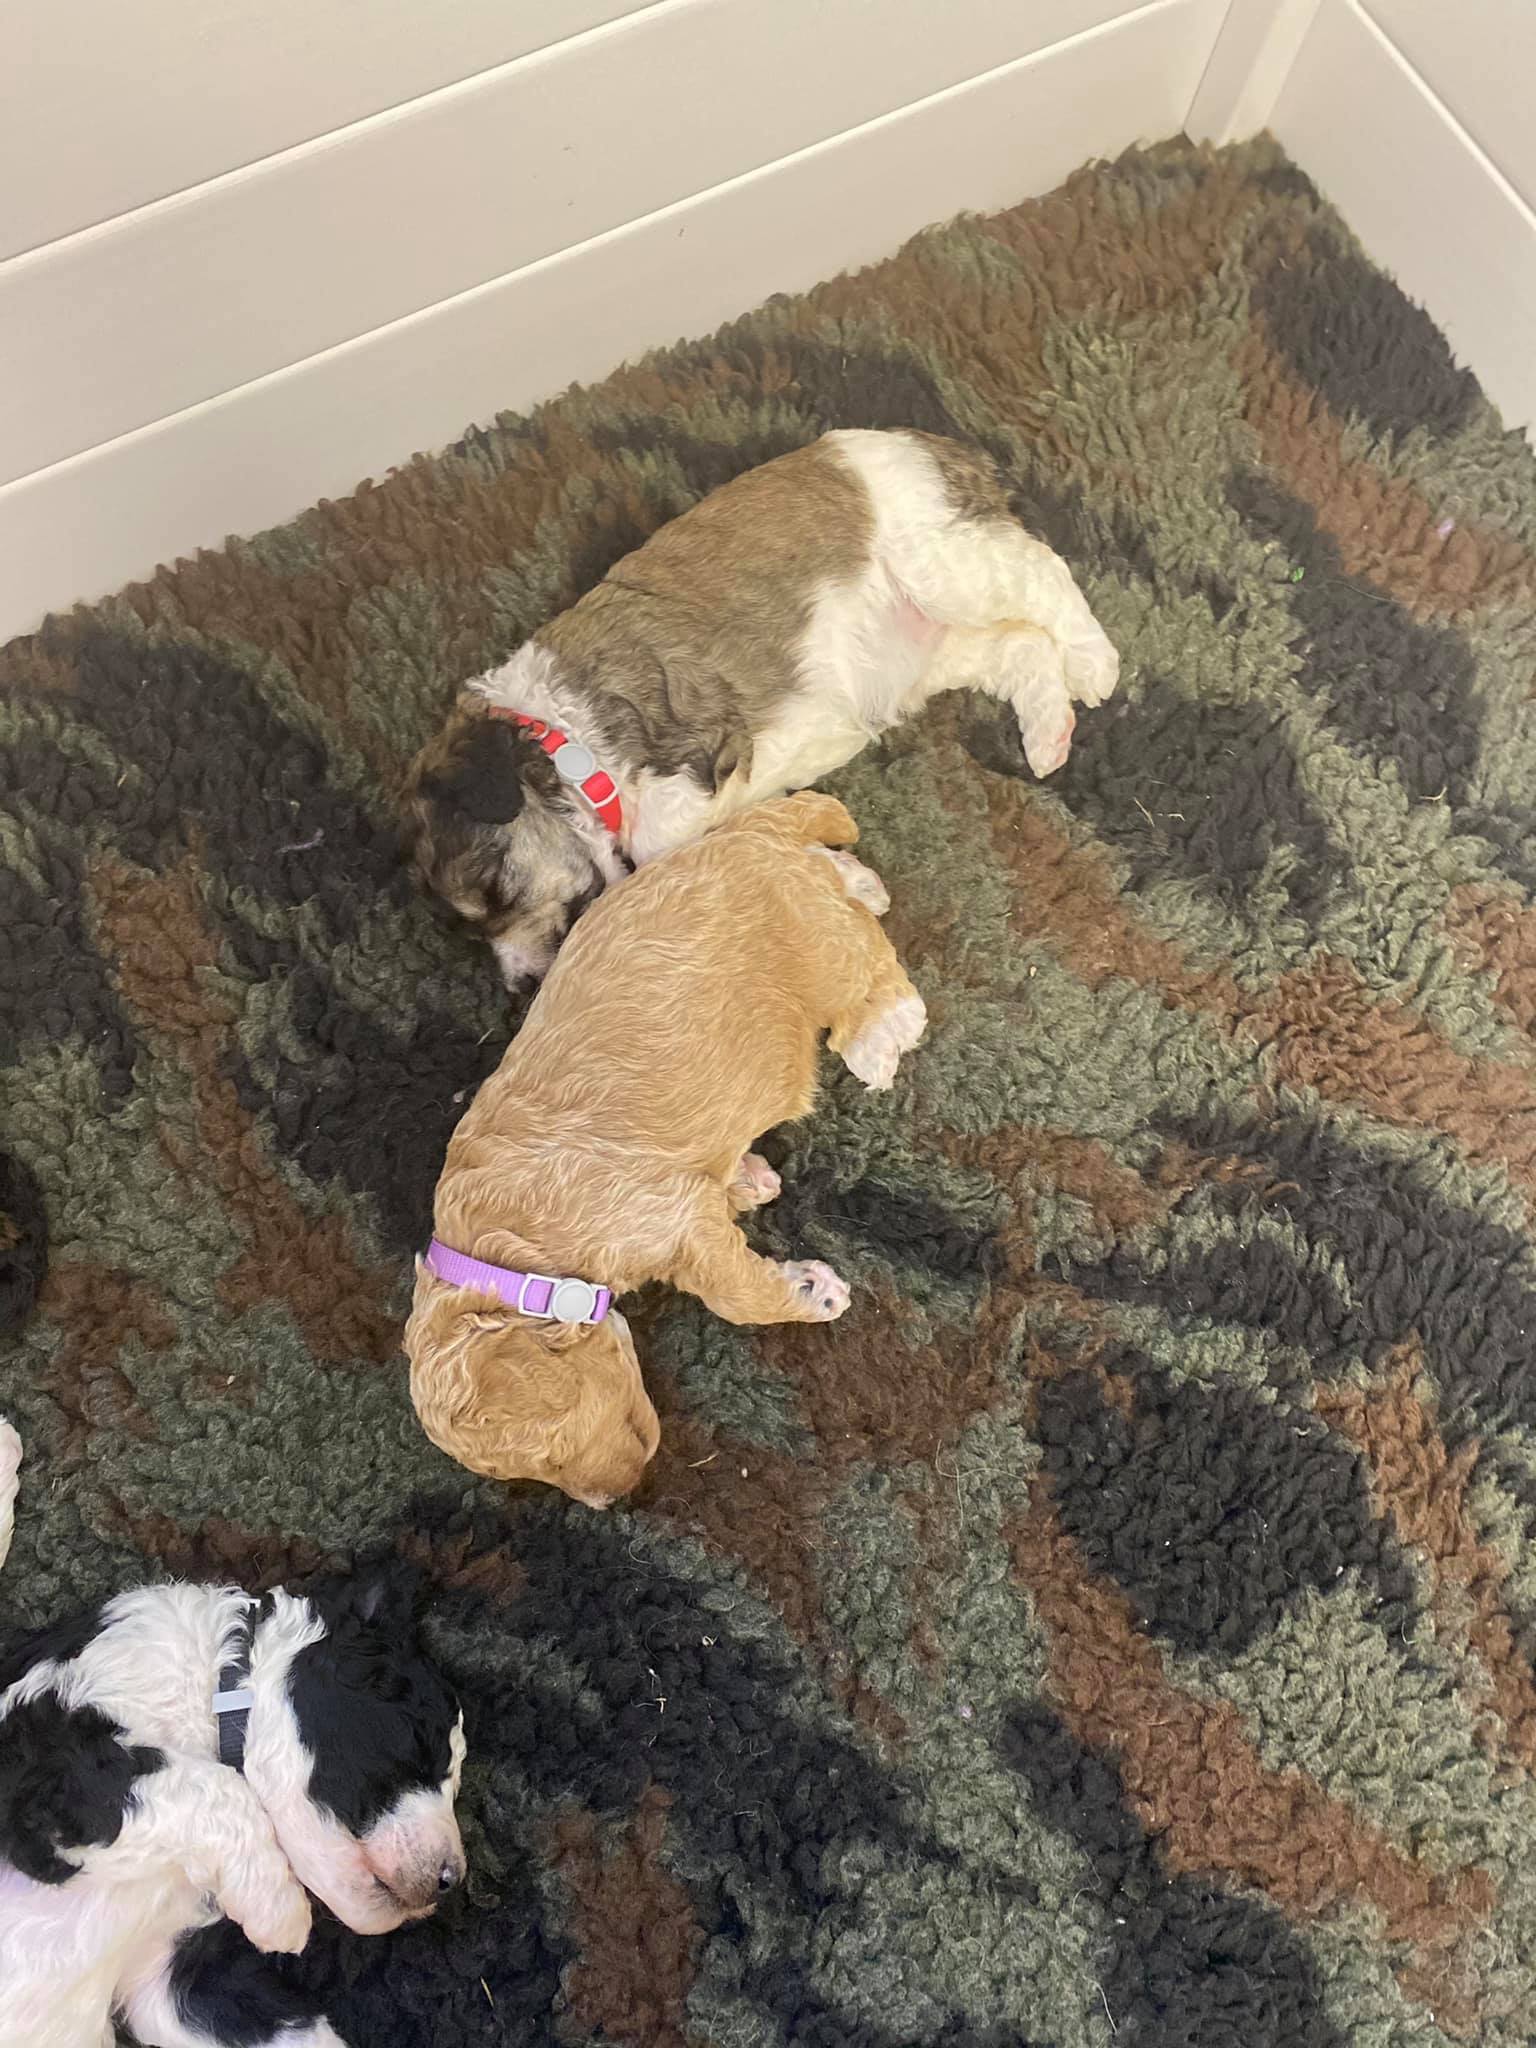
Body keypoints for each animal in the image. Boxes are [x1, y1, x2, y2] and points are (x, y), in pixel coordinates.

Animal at [0, 1420, 465, 2048]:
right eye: (422, 1741)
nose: (451, 1881)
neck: (212, 1689)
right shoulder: (42, 1763)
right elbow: (214, 1786)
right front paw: (281, 1913)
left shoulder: (179, 1977)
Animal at [404, 427, 1118, 987]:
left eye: (494, 892)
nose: (523, 984)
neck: (562, 741)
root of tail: (938, 446)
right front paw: (847, 878)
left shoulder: (689, 755)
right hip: (934, 650)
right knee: (1020, 645)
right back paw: (1049, 733)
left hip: (945, 564)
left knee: (1040, 572)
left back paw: (1094, 665)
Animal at [404, 791, 925, 1505]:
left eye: (548, 1452)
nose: (617, 1499)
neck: (503, 1257)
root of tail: (750, 832)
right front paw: (752, 1180)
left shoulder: (674, 1220)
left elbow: (735, 1293)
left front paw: (812, 1292)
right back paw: (861, 881)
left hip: (816, 946)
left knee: (867, 960)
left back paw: (884, 1028)